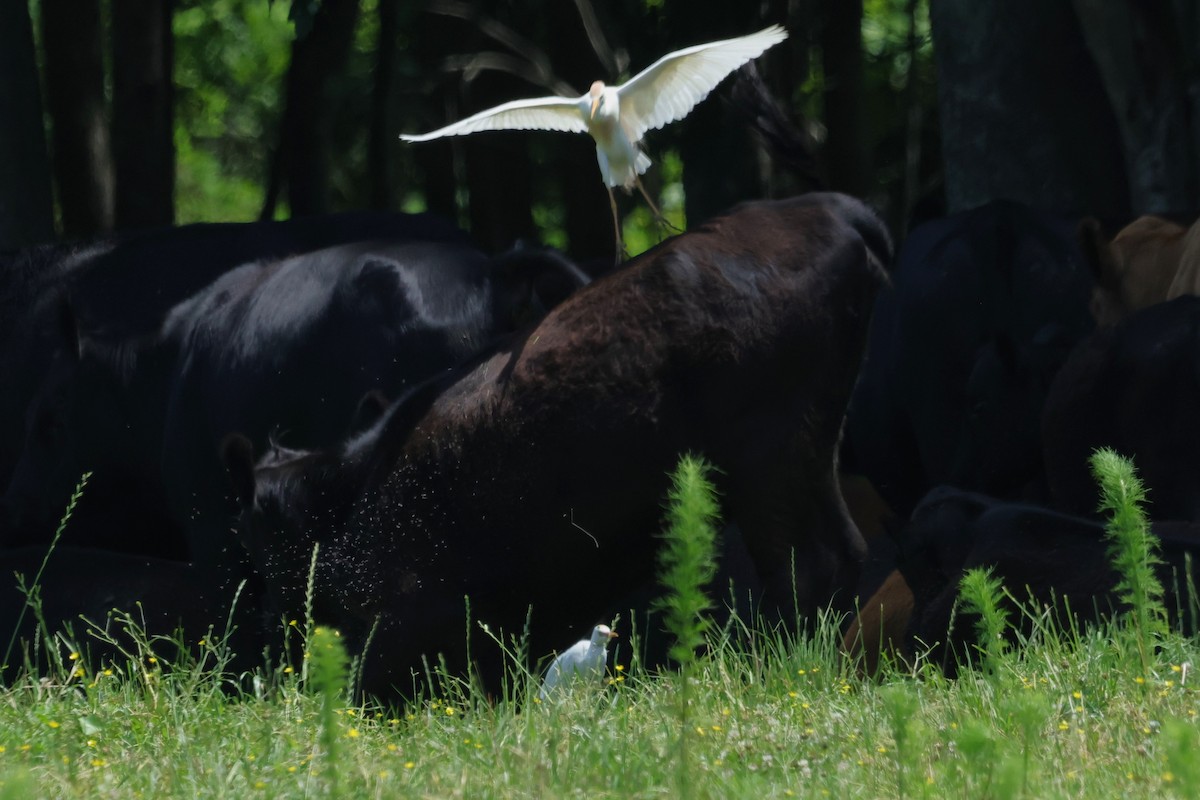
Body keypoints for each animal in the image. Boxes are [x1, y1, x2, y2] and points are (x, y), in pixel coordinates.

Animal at [220, 190, 892, 695]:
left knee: (806, 565)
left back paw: (775, 670)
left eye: (256, 536)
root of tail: (827, 208)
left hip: (769, 463)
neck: (357, 485)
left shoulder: (417, 611)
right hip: (811, 453)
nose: (271, 629)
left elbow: (373, 684)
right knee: (843, 553)